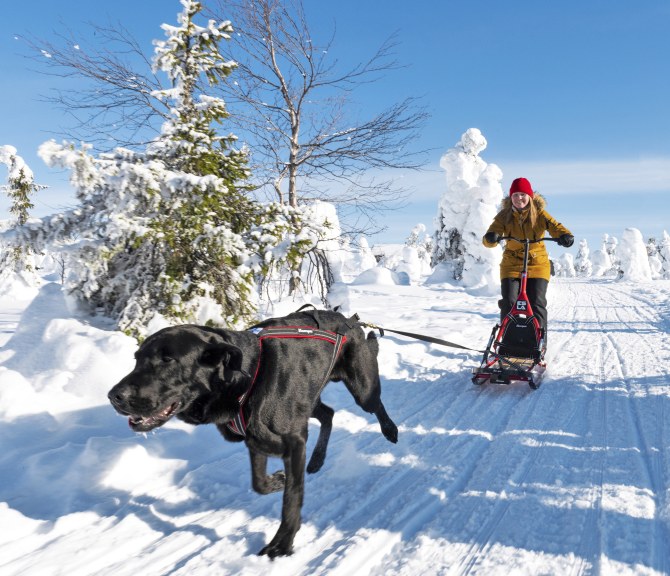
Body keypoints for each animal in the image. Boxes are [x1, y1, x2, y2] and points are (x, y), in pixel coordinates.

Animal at [107, 310, 396, 560]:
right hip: (310, 401)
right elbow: (259, 483)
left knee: (374, 405)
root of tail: (350, 320)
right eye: (136, 358)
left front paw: (282, 544)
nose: (114, 396)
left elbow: (292, 498)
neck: (247, 379)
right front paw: (277, 480)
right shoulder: (256, 441)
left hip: (361, 389)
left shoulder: (294, 442)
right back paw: (317, 460)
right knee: (328, 414)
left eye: (168, 360)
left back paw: (390, 430)